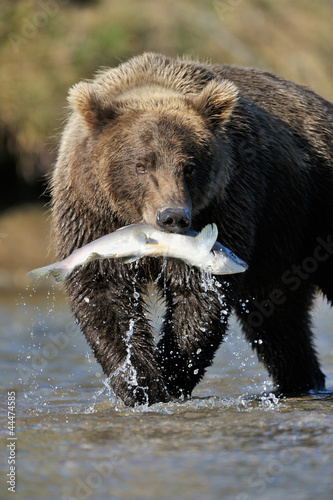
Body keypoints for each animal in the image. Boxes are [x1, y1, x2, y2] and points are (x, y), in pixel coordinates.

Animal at [50, 52, 330, 406]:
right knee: (279, 319)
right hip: (282, 244)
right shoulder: (91, 215)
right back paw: (300, 381)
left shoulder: (225, 204)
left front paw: (170, 377)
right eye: (141, 165)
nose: (172, 217)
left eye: (189, 166)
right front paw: (142, 385)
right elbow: (104, 294)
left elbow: (198, 295)